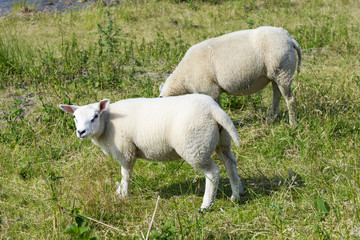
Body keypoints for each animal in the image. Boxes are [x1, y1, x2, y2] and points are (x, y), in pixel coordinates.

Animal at [59, 94, 245, 210]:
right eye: (75, 117)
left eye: (95, 116)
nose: (81, 132)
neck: (107, 123)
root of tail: (213, 109)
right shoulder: (130, 150)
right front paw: (119, 191)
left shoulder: (125, 150)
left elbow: (125, 174)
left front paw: (123, 195)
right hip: (222, 142)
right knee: (230, 165)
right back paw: (236, 195)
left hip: (195, 146)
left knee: (213, 173)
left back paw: (206, 205)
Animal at [160, 26, 300, 125]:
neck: (183, 80)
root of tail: (289, 39)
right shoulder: (214, 91)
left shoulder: (210, 90)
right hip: (276, 74)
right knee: (277, 96)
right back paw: (271, 119)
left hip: (283, 72)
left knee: (290, 99)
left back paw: (292, 123)